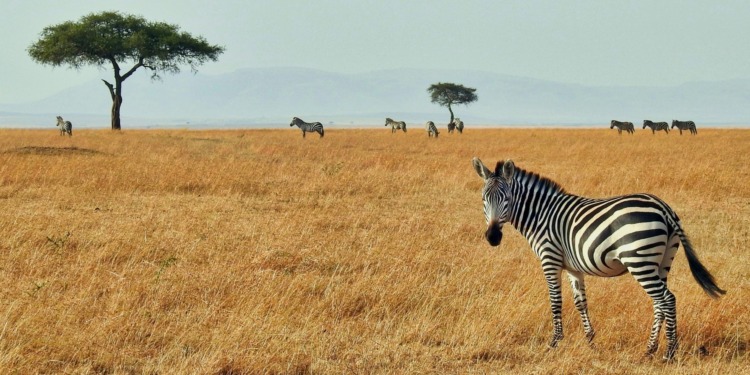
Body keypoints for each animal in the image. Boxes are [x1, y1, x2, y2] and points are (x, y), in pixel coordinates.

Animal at [472, 158, 724, 362]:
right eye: (484, 199)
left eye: (506, 198)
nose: (493, 237)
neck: (540, 214)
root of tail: (664, 208)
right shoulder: (573, 268)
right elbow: (580, 302)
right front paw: (590, 340)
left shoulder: (550, 259)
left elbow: (555, 301)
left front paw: (554, 342)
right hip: (662, 262)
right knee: (659, 302)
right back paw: (650, 349)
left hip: (639, 260)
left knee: (668, 299)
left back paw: (669, 353)